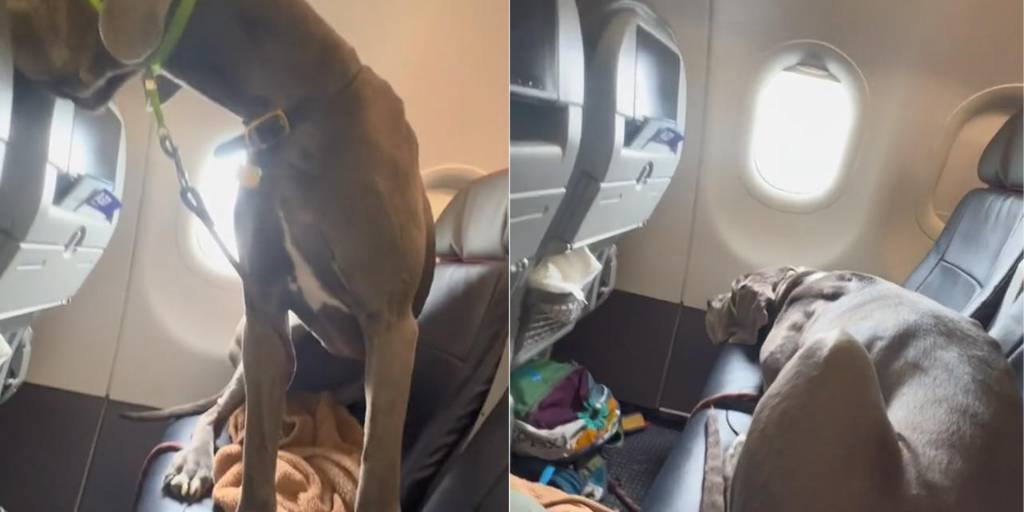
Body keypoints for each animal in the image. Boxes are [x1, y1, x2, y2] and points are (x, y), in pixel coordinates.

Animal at [10, 1, 435, 510]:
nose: (7, 37)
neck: (293, 117)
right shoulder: (265, 316)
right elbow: (256, 458)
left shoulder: (390, 325)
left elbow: (377, 466)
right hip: (273, 342)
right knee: (215, 410)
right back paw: (194, 463)